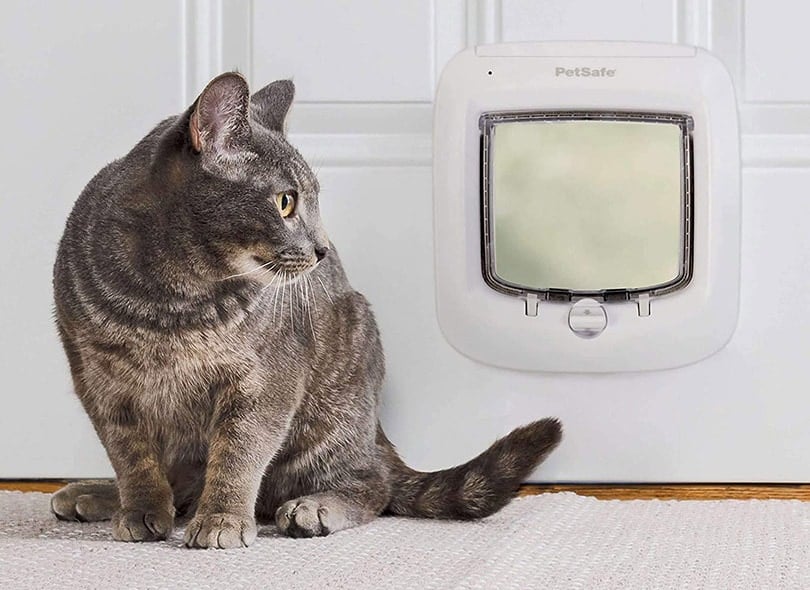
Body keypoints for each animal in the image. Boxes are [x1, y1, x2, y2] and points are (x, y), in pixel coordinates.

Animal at [49, 73, 556, 552]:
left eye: (309, 200)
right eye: (286, 202)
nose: (322, 249)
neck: (170, 299)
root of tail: (378, 432)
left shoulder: (265, 381)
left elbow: (238, 452)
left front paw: (222, 520)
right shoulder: (99, 382)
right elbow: (132, 456)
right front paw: (140, 510)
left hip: (334, 404)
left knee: (373, 482)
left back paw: (313, 507)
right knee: (182, 481)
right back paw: (96, 494)